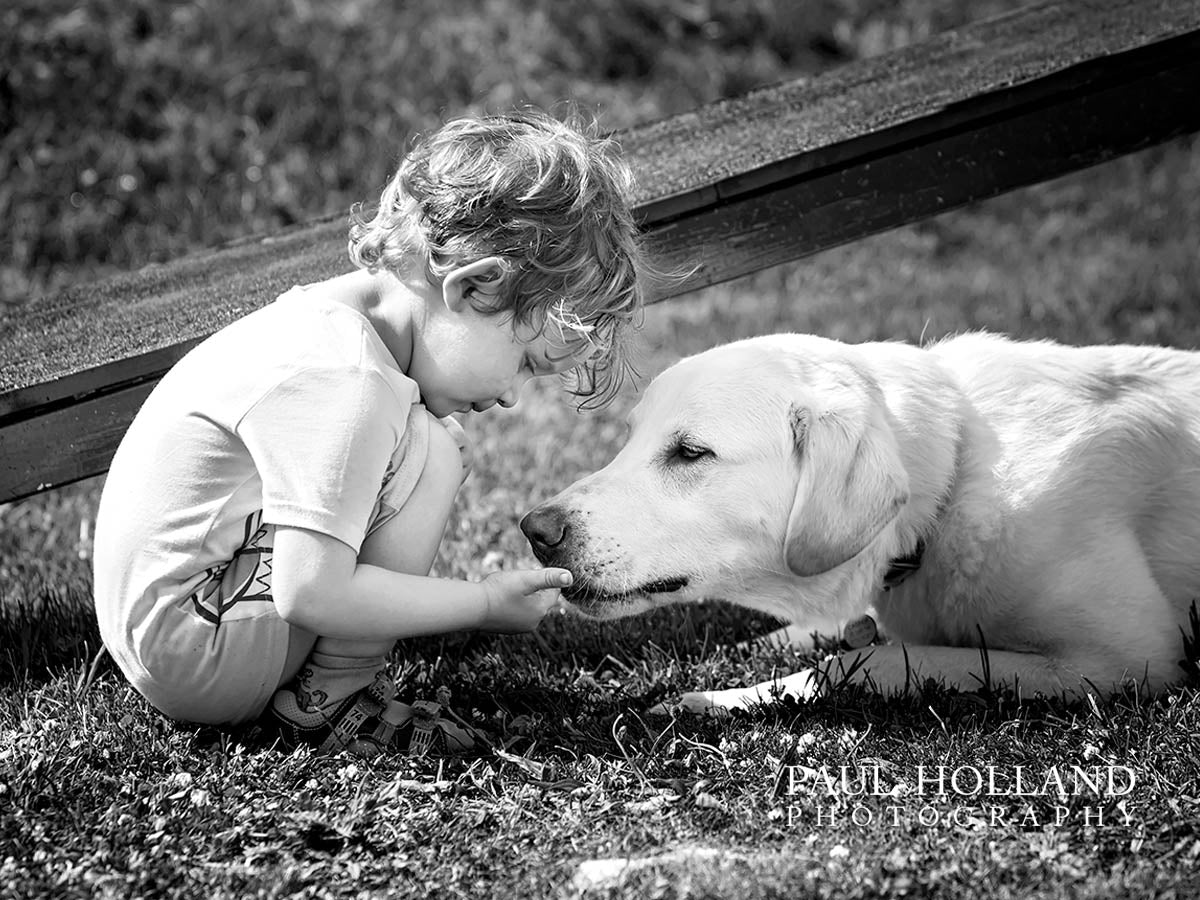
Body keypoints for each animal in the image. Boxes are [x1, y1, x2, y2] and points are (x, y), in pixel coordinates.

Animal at [520, 336, 1200, 715]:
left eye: (690, 453)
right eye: (628, 441)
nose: (533, 529)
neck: (954, 483)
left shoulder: (1119, 660)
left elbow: (869, 660)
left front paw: (718, 697)